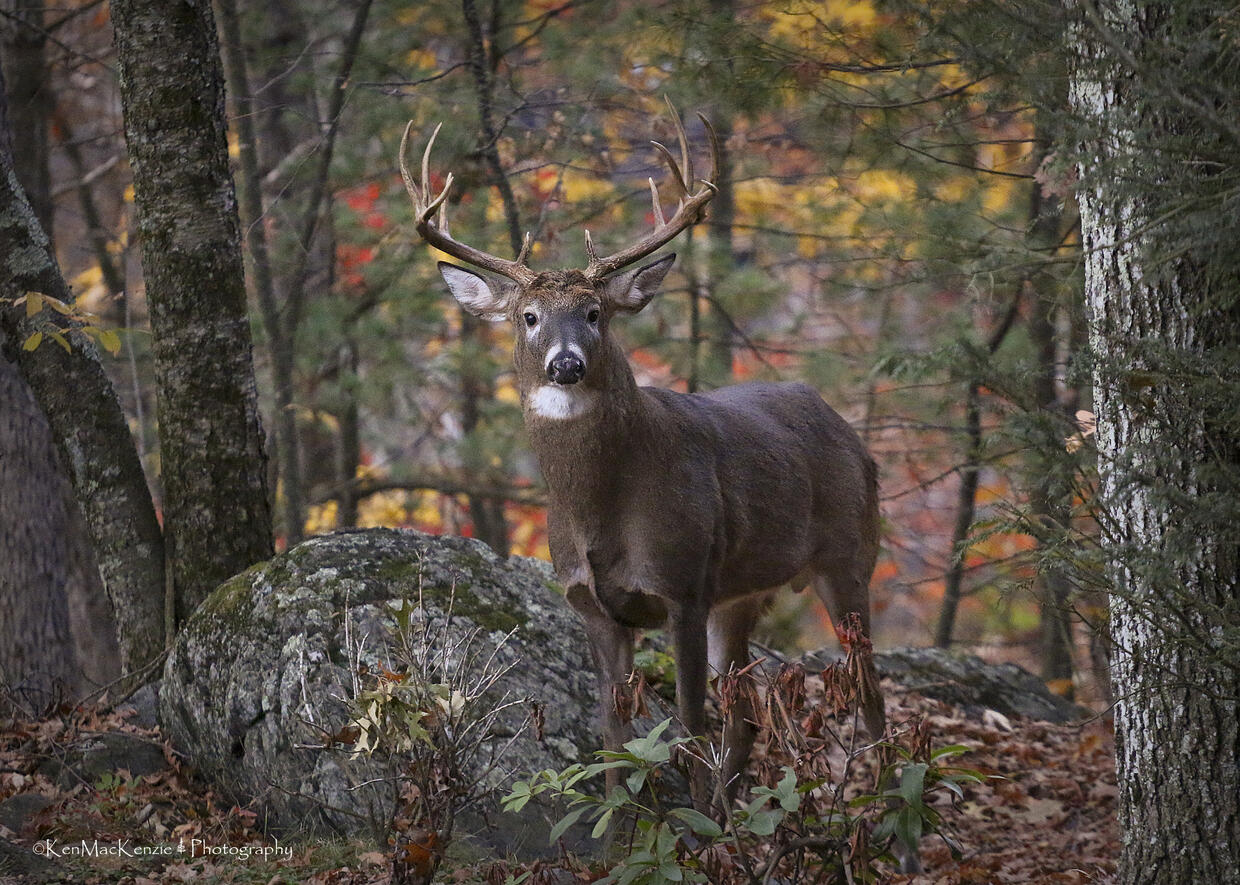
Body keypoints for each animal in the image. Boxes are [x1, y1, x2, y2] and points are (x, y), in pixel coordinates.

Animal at [401, 112, 887, 813]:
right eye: (529, 316)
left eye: (595, 312)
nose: (566, 364)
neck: (603, 508)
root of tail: (849, 432)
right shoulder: (592, 604)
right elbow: (612, 740)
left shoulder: (682, 584)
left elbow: (687, 726)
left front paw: (693, 830)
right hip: (741, 591)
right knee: (745, 716)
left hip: (850, 555)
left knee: (869, 698)